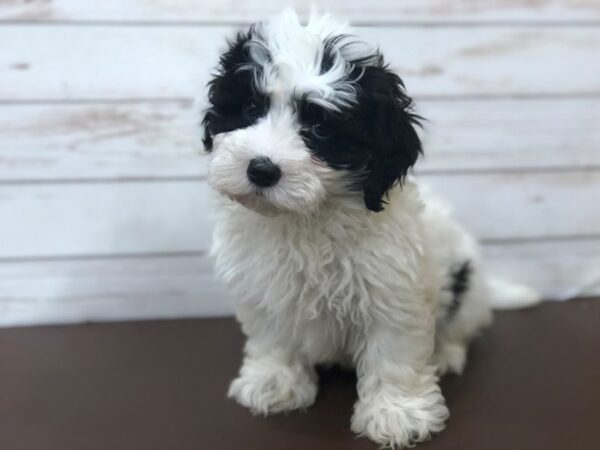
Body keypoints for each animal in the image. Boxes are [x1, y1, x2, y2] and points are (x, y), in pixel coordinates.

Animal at [202, 11, 540, 450]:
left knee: (460, 327)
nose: (261, 169)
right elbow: (274, 335)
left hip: (464, 288)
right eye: (249, 107)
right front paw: (273, 381)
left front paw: (398, 413)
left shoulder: (392, 290)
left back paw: (445, 354)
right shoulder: (264, 286)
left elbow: (393, 353)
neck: (307, 217)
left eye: (321, 130)